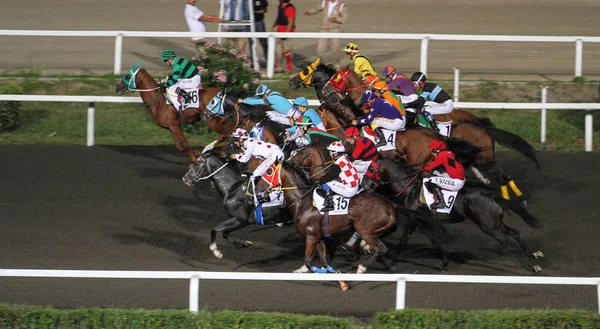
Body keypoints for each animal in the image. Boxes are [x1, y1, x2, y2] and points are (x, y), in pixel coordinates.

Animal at [255, 160, 448, 272]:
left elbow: (311, 261)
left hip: (365, 229)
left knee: (381, 249)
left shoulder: (311, 236)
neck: (304, 201)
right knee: (381, 245)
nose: (257, 189)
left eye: (269, 172)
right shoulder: (319, 237)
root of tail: (391, 204)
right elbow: (323, 261)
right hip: (379, 228)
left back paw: (361, 265)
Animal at [358, 156, 548, 272]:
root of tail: (491, 196)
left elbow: (404, 240)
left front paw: (387, 258)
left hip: (488, 227)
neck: (410, 188)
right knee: (515, 232)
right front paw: (444, 263)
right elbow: (435, 242)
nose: (364, 184)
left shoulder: (414, 220)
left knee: (510, 244)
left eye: (371, 169)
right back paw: (532, 254)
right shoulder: (424, 222)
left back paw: (530, 267)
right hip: (495, 223)